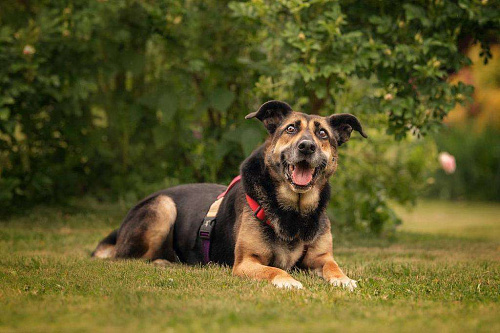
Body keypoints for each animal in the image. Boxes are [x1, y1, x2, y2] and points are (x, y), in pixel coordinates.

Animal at [93, 100, 368, 290]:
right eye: (290, 129)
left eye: (323, 134)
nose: (307, 147)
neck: (295, 211)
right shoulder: (246, 262)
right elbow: (274, 270)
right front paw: (287, 281)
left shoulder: (321, 258)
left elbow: (334, 266)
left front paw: (344, 279)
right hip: (163, 206)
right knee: (126, 259)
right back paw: (164, 262)